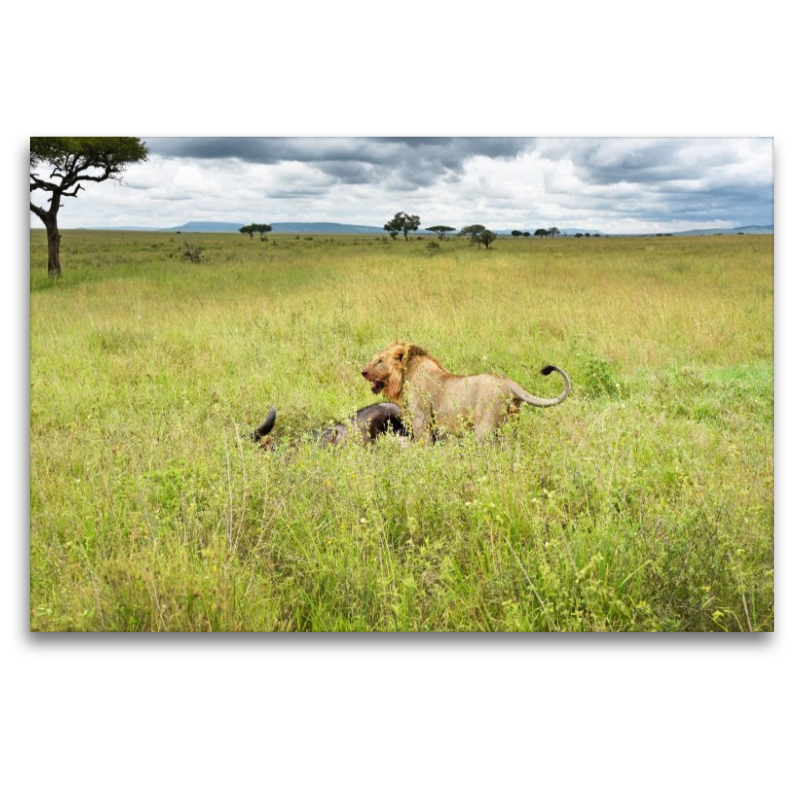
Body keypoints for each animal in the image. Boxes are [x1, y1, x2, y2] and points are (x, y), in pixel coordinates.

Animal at [361, 342, 570, 441]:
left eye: (379, 361)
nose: (363, 371)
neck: (405, 374)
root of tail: (509, 383)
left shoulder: (422, 420)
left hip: (484, 429)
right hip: (509, 427)